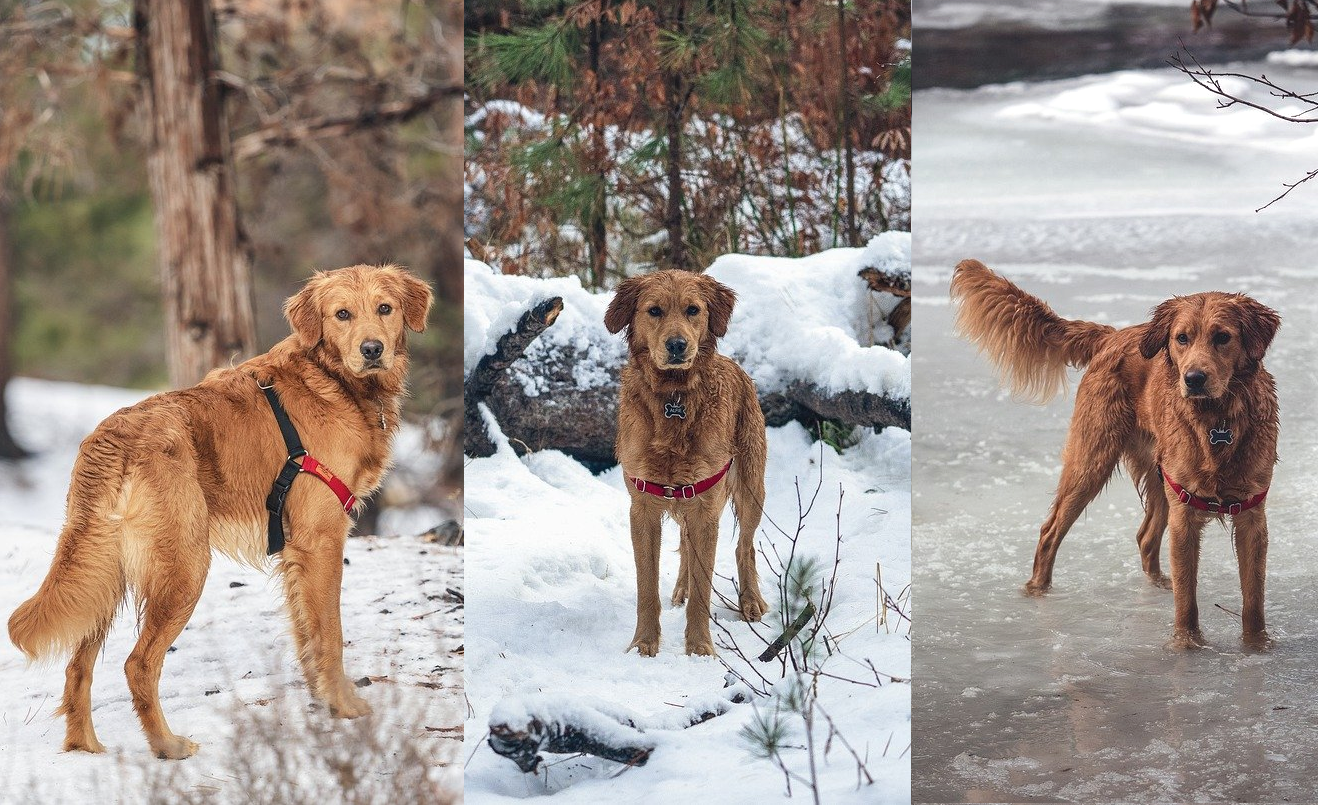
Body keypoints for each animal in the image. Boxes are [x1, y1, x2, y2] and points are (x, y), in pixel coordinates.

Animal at [7, 264, 434, 753]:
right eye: (342, 314)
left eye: (385, 308)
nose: (372, 349)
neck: (331, 380)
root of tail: (114, 435)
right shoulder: (321, 540)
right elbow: (331, 635)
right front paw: (344, 708)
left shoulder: (295, 553)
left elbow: (307, 636)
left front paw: (322, 702)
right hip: (184, 567)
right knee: (138, 663)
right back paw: (167, 746)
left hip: (102, 574)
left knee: (78, 664)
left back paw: (85, 747)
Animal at [954, 260, 1281, 650]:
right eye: (1182, 338)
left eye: (1222, 337)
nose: (1194, 378)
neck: (1216, 422)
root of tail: (1111, 336)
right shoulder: (1185, 514)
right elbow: (1187, 600)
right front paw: (1186, 644)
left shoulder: (1252, 515)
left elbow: (1254, 599)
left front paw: (1257, 646)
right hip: (1091, 460)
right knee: (1050, 530)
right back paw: (1037, 592)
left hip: (1157, 474)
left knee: (1146, 536)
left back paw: (1157, 584)